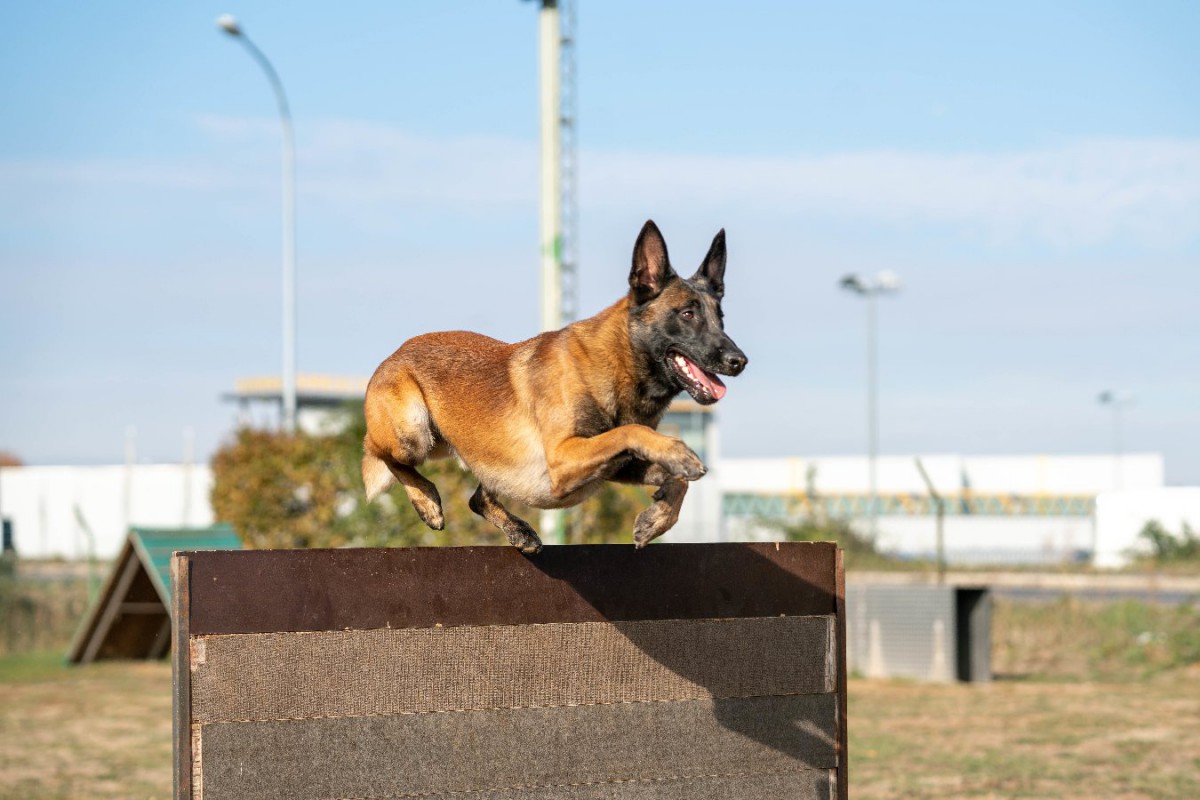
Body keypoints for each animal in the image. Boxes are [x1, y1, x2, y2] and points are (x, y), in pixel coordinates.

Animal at [360, 221, 744, 554]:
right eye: (688, 314)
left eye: (721, 319)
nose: (739, 361)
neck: (617, 363)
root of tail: (394, 355)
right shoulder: (564, 456)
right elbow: (631, 431)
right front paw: (678, 453)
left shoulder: (616, 466)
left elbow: (674, 477)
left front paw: (657, 518)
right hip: (413, 434)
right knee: (378, 452)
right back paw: (426, 500)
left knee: (477, 497)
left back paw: (517, 530)